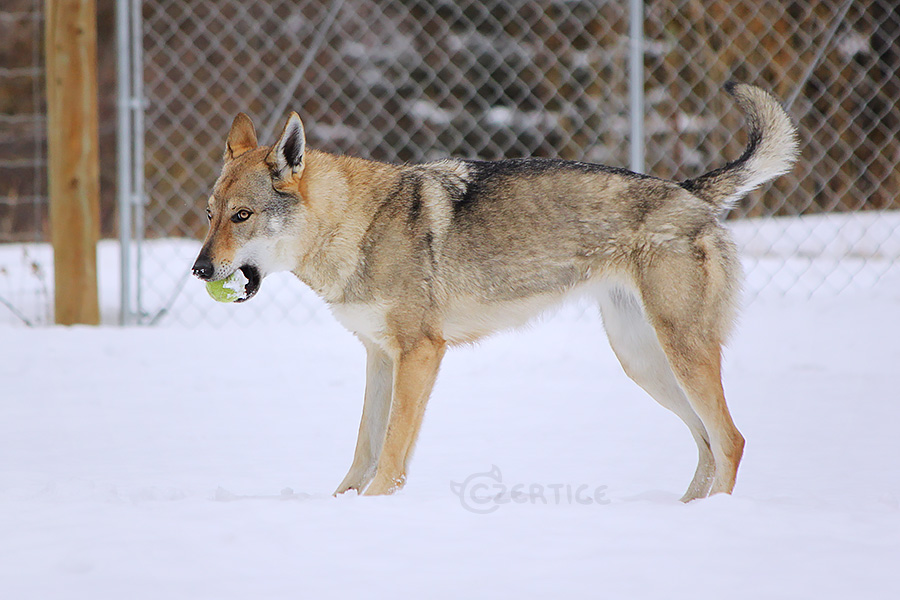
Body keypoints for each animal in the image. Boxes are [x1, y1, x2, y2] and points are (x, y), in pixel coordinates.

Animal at [190, 81, 796, 502]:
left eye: (242, 217)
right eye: (211, 214)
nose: (198, 269)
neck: (358, 227)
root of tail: (689, 190)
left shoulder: (420, 354)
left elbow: (391, 453)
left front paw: (375, 506)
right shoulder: (379, 356)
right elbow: (364, 447)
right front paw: (341, 506)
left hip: (680, 352)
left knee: (731, 440)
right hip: (642, 362)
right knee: (707, 442)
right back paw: (687, 511)